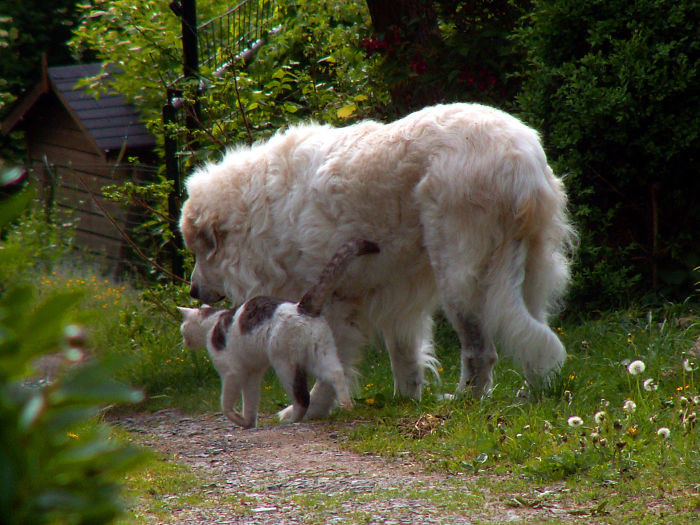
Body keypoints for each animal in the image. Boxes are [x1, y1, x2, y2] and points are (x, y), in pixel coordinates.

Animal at [178, 239, 380, 428]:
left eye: (183, 329)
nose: (183, 342)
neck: (213, 322)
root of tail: (301, 306)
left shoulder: (232, 371)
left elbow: (225, 403)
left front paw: (236, 419)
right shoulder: (252, 374)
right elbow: (250, 402)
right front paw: (248, 423)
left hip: (285, 365)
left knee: (302, 397)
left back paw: (292, 419)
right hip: (322, 354)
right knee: (337, 374)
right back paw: (347, 406)